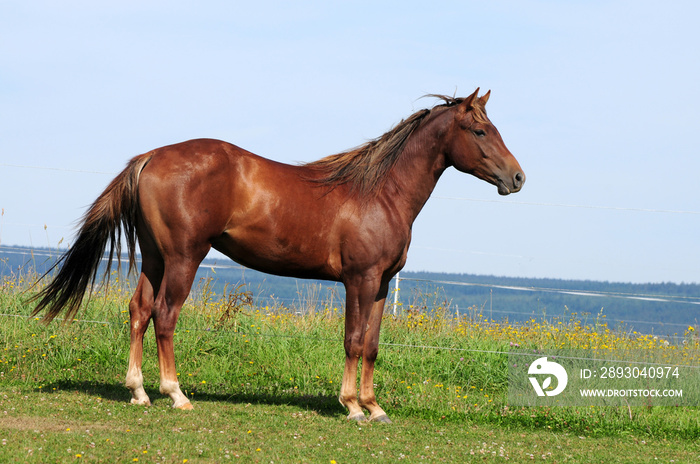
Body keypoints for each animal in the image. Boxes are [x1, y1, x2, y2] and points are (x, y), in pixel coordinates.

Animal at [32, 88, 524, 424]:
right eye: (479, 130)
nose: (517, 178)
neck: (379, 193)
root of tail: (151, 157)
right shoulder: (360, 280)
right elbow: (353, 340)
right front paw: (352, 407)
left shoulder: (382, 284)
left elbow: (373, 345)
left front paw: (374, 406)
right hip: (184, 257)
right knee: (165, 315)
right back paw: (175, 393)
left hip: (155, 258)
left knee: (138, 310)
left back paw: (138, 391)